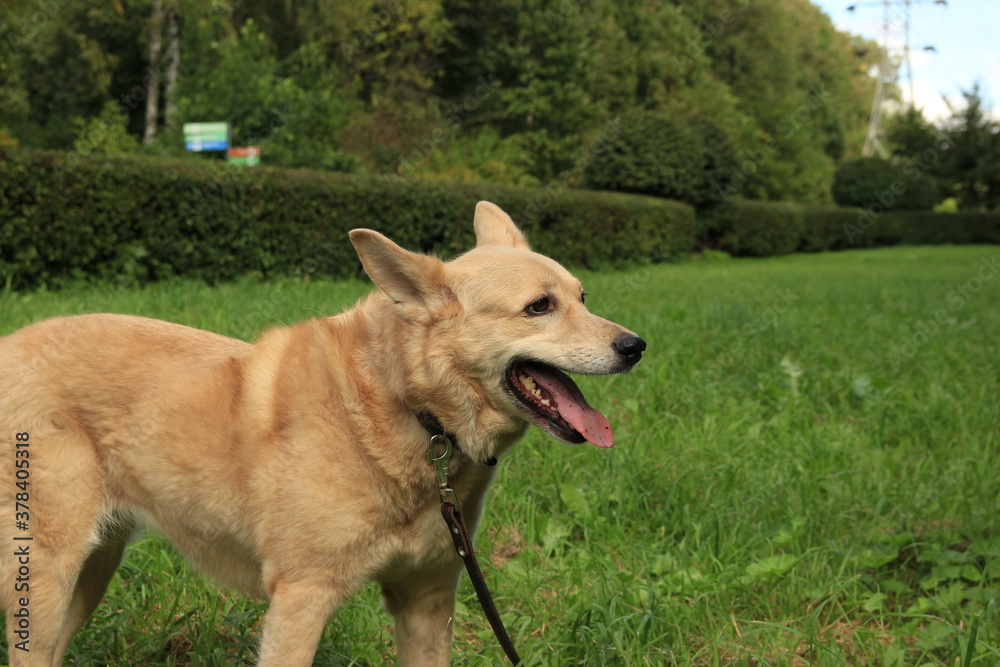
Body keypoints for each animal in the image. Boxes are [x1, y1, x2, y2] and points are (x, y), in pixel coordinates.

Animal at [0, 204, 648, 667]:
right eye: (539, 307)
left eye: (583, 297)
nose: (636, 345)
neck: (408, 411)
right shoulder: (300, 599)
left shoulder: (427, 601)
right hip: (49, 575)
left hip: (91, 572)